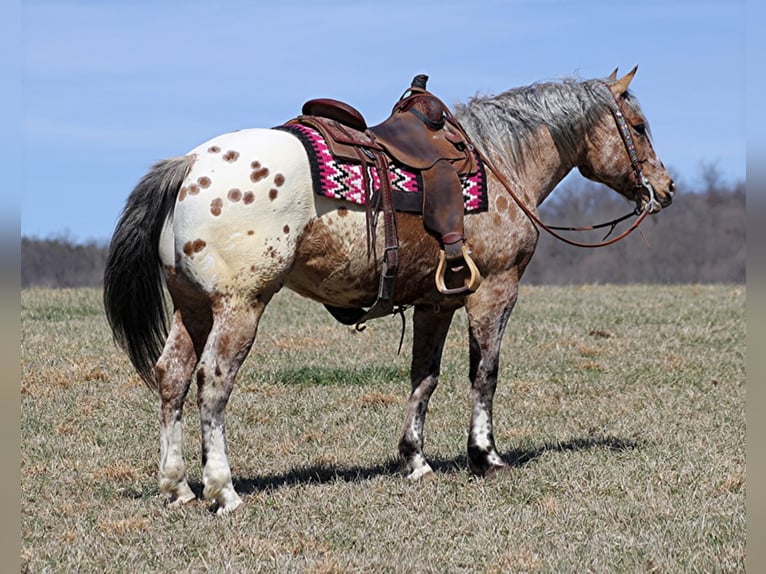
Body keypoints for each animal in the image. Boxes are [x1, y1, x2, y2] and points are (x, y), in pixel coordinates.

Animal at [105, 68, 676, 516]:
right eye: (639, 127)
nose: (665, 188)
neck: (498, 163)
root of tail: (190, 164)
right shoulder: (494, 290)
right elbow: (485, 374)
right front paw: (485, 456)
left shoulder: (435, 302)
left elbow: (424, 378)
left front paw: (416, 460)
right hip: (239, 307)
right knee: (213, 383)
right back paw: (223, 490)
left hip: (193, 307)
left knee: (172, 376)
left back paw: (177, 487)